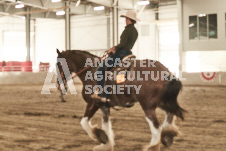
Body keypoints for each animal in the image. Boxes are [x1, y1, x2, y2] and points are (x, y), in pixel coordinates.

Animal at [55, 49, 185, 151]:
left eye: (59, 64)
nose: (58, 83)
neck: (90, 72)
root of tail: (166, 73)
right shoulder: (104, 106)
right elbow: (106, 126)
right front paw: (106, 144)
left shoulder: (93, 103)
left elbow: (84, 123)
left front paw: (100, 137)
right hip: (161, 102)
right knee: (169, 114)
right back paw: (168, 134)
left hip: (147, 105)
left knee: (156, 127)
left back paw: (153, 146)